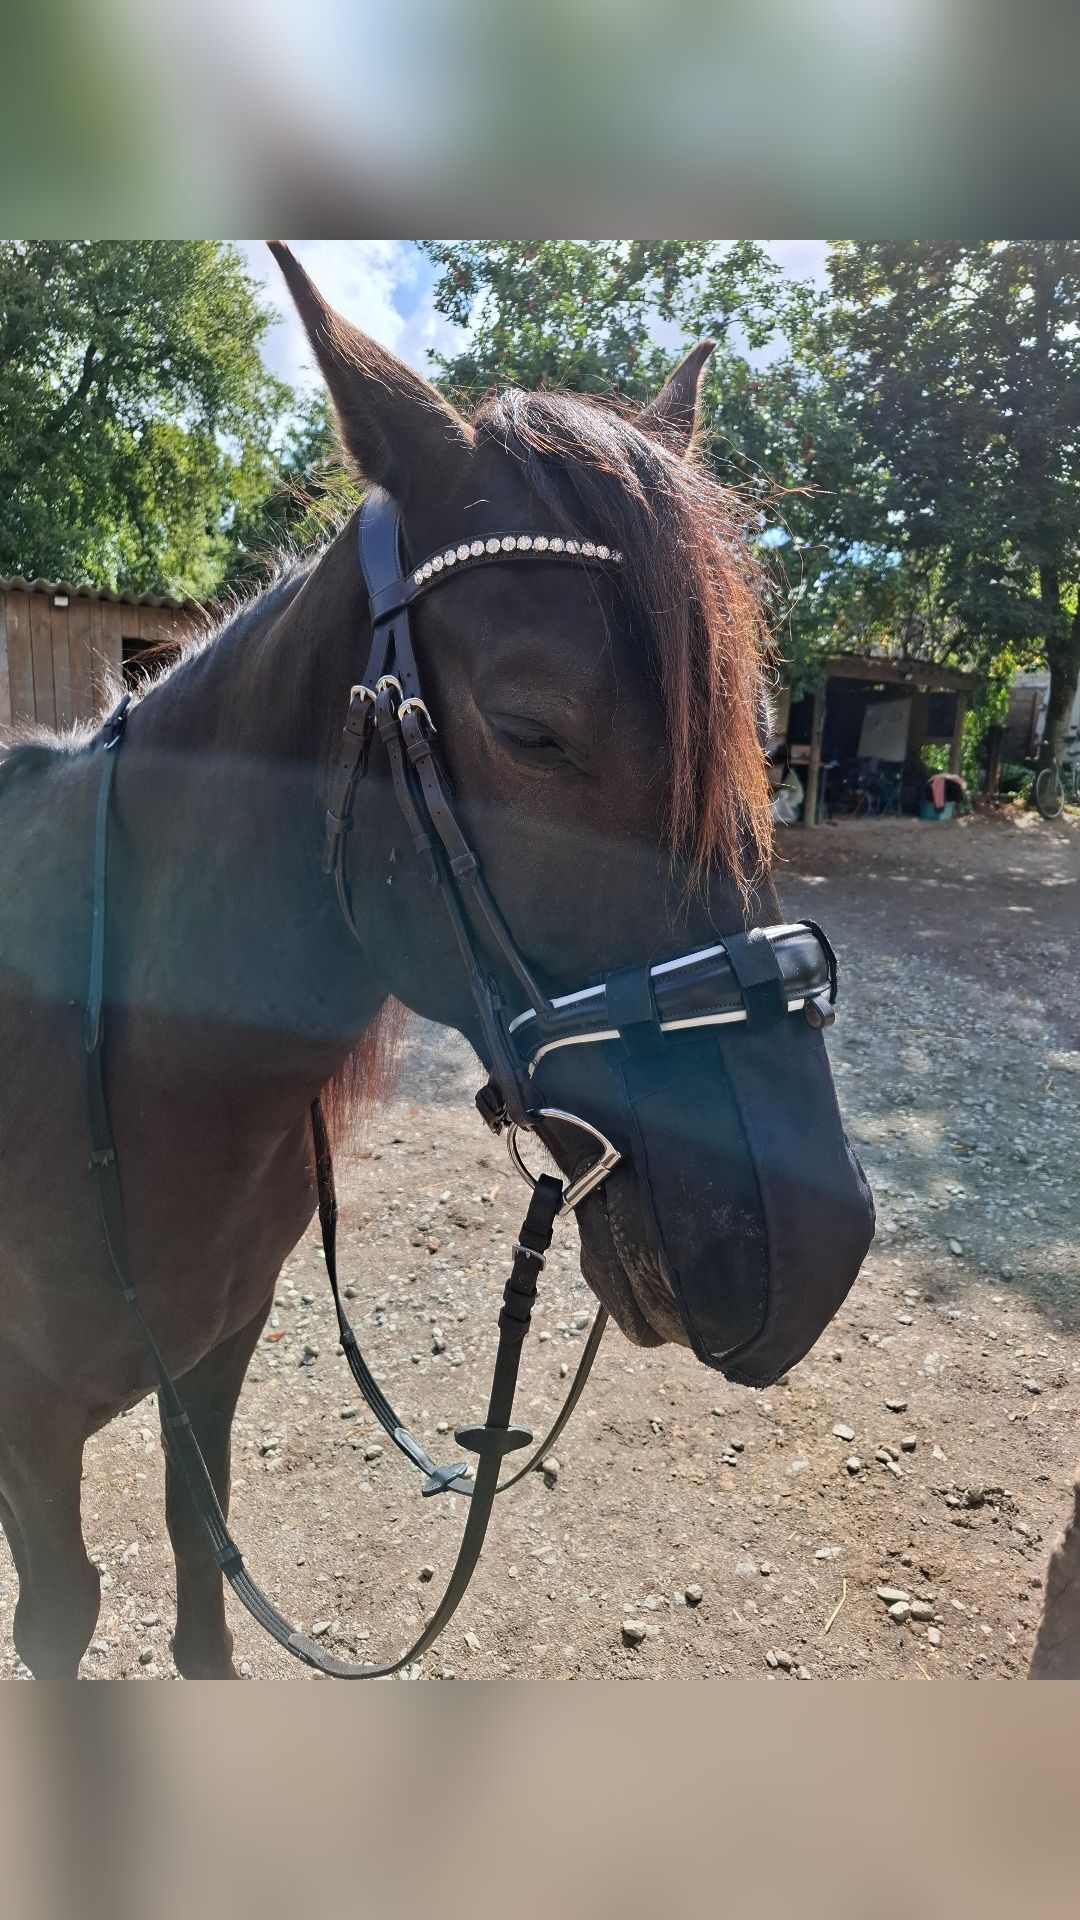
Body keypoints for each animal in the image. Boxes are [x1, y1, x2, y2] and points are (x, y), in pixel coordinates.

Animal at [0, 243, 872, 1678]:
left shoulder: (212, 1359)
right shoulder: (29, 1432)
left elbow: (200, 1567)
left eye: (759, 727)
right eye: (529, 729)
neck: (119, 1063)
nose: (812, 1247)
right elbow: (61, 1613)